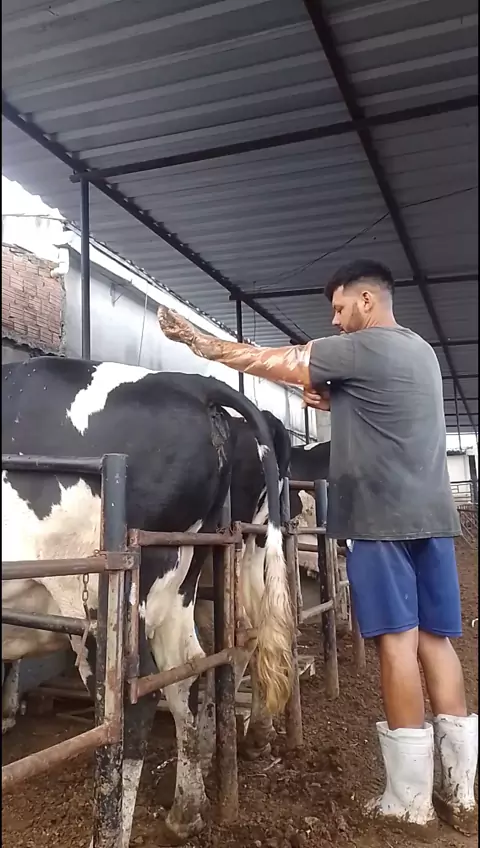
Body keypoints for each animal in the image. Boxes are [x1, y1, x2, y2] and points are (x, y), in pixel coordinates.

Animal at [2, 356, 294, 845]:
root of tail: (191, 383)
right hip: (190, 576)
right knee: (193, 667)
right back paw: (188, 808)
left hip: (103, 601)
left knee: (128, 710)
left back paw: (113, 830)